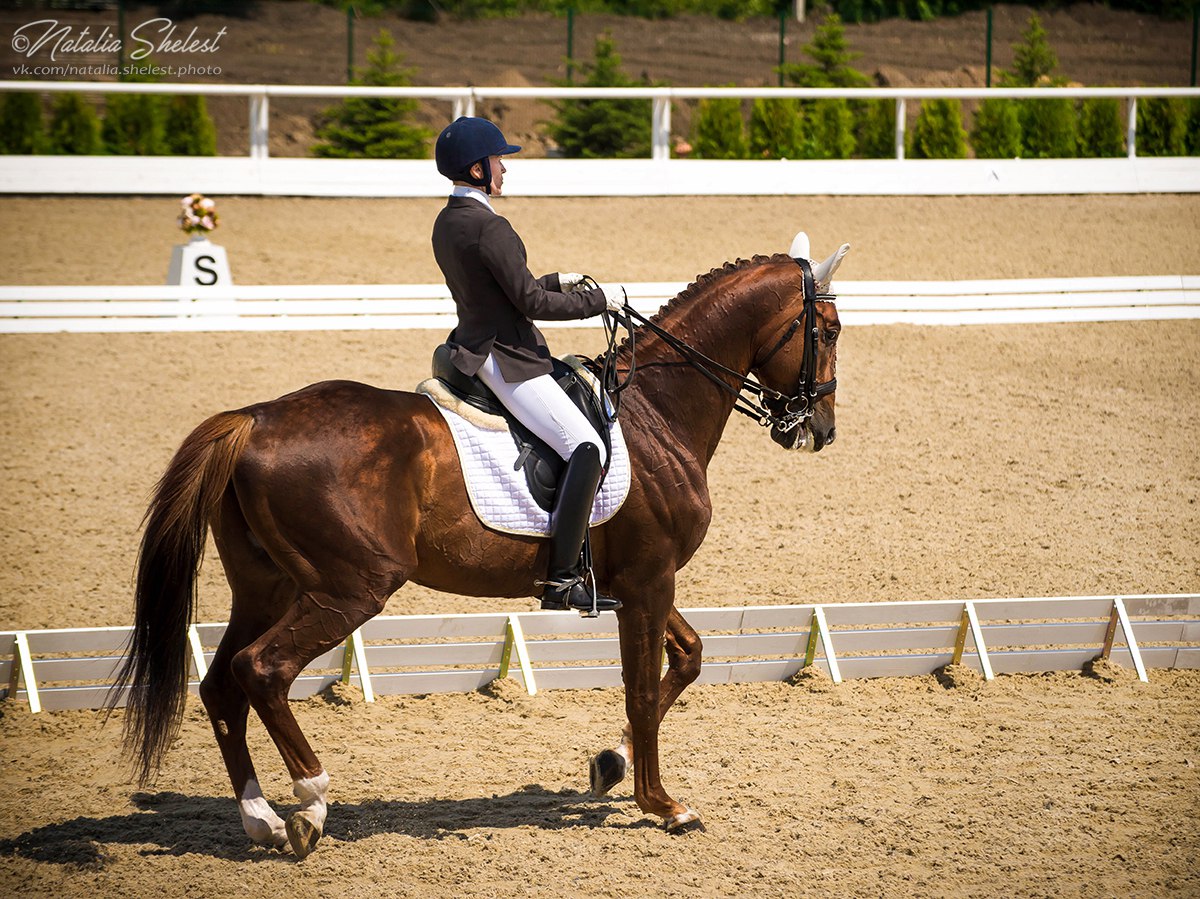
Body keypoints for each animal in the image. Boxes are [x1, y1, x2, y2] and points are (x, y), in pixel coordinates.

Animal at [108, 247, 840, 854]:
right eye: (828, 332)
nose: (819, 430)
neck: (658, 410)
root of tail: (255, 417)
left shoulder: (634, 582)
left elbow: (687, 659)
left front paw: (612, 764)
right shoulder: (650, 579)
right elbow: (640, 688)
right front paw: (663, 804)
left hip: (269, 586)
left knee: (221, 683)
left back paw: (259, 817)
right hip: (351, 588)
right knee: (261, 670)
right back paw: (311, 805)